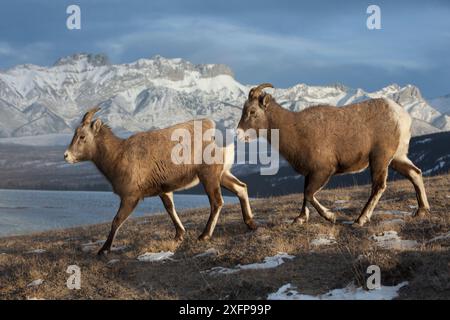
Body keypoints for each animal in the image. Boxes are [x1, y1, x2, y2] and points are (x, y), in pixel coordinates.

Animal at [63, 109, 256, 256]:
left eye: (82, 136)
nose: (66, 156)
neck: (118, 156)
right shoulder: (164, 191)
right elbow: (170, 209)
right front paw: (179, 235)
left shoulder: (130, 197)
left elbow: (116, 221)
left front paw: (103, 250)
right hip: (222, 175)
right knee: (241, 188)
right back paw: (250, 224)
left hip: (209, 176)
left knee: (217, 202)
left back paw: (204, 236)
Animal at [236, 84, 428, 226]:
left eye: (252, 112)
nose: (237, 134)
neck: (297, 131)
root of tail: (402, 117)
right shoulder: (311, 174)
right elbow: (305, 194)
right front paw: (300, 219)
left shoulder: (323, 171)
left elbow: (308, 194)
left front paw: (330, 216)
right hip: (396, 158)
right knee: (415, 173)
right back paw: (421, 211)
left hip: (380, 159)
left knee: (379, 186)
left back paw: (360, 220)